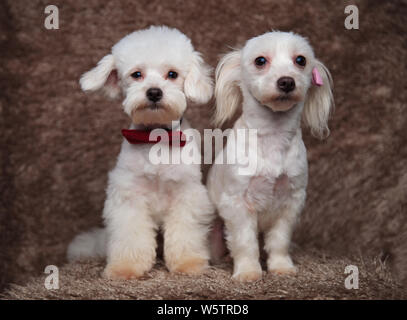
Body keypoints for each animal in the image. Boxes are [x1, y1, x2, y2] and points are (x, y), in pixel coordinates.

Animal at [69, 25, 217, 280]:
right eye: (137, 74)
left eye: (172, 74)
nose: (154, 92)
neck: (155, 138)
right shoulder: (128, 195)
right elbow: (130, 235)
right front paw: (125, 267)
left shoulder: (187, 194)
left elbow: (185, 233)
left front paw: (188, 264)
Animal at [207, 30, 334, 280]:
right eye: (260, 61)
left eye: (301, 60)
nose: (286, 81)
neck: (273, 136)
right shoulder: (237, 204)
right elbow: (245, 243)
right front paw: (248, 271)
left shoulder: (291, 202)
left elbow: (279, 241)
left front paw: (281, 267)